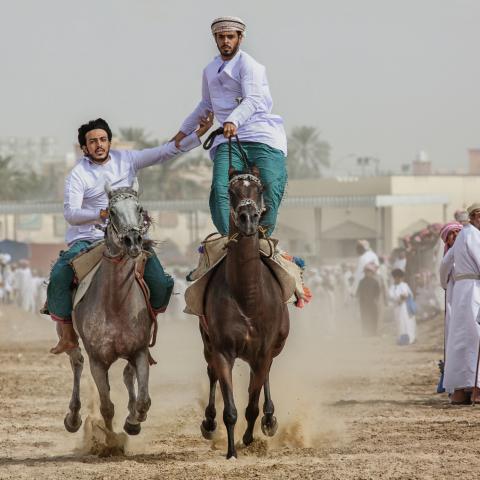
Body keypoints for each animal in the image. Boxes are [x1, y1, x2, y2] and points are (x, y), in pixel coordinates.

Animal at [63, 178, 154, 436]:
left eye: (139, 208)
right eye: (111, 211)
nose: (133, 241)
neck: (116, 304)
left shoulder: (140, 351)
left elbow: (143, 401)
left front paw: (133, 421)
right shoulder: (98, 360)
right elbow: (106, 407)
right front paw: (110, 439)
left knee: (127, 375)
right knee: (76, 362)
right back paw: (73, 417)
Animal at [199, 167, 288, 460]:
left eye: (259, 190)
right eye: (231, 191)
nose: (248, 218)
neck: (247, 297)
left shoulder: (263, 350)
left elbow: (252, 402)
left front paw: (250, 436)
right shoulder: (222, 350)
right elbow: (230, 409)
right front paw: (231, 451)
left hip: (273, 346)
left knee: (264, 377)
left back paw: (269, 419)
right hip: (208, 343)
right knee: (211, 372)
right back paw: (209, 422)